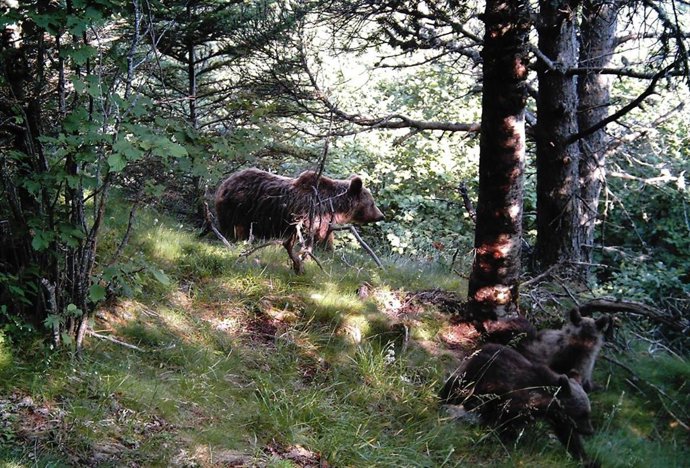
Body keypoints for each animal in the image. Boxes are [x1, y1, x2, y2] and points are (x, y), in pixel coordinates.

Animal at [214, 168, 384, 273]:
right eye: (372, 202)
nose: (381, 215)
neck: (334, 205)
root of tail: (224, 183)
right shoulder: (314, 215)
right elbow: (320, 236)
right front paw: (328, 252)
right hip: (240, 207)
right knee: (236, 227)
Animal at [440, 343, 596, 464]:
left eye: (588, 412)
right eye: (582, 414)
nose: (590, 431)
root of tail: (482, 347)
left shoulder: (557, 417)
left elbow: (568, 436)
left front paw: (586, 458)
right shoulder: (512, 401)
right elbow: (505, 423)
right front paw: (503, 439)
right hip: (476, 374)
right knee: (457, 387)